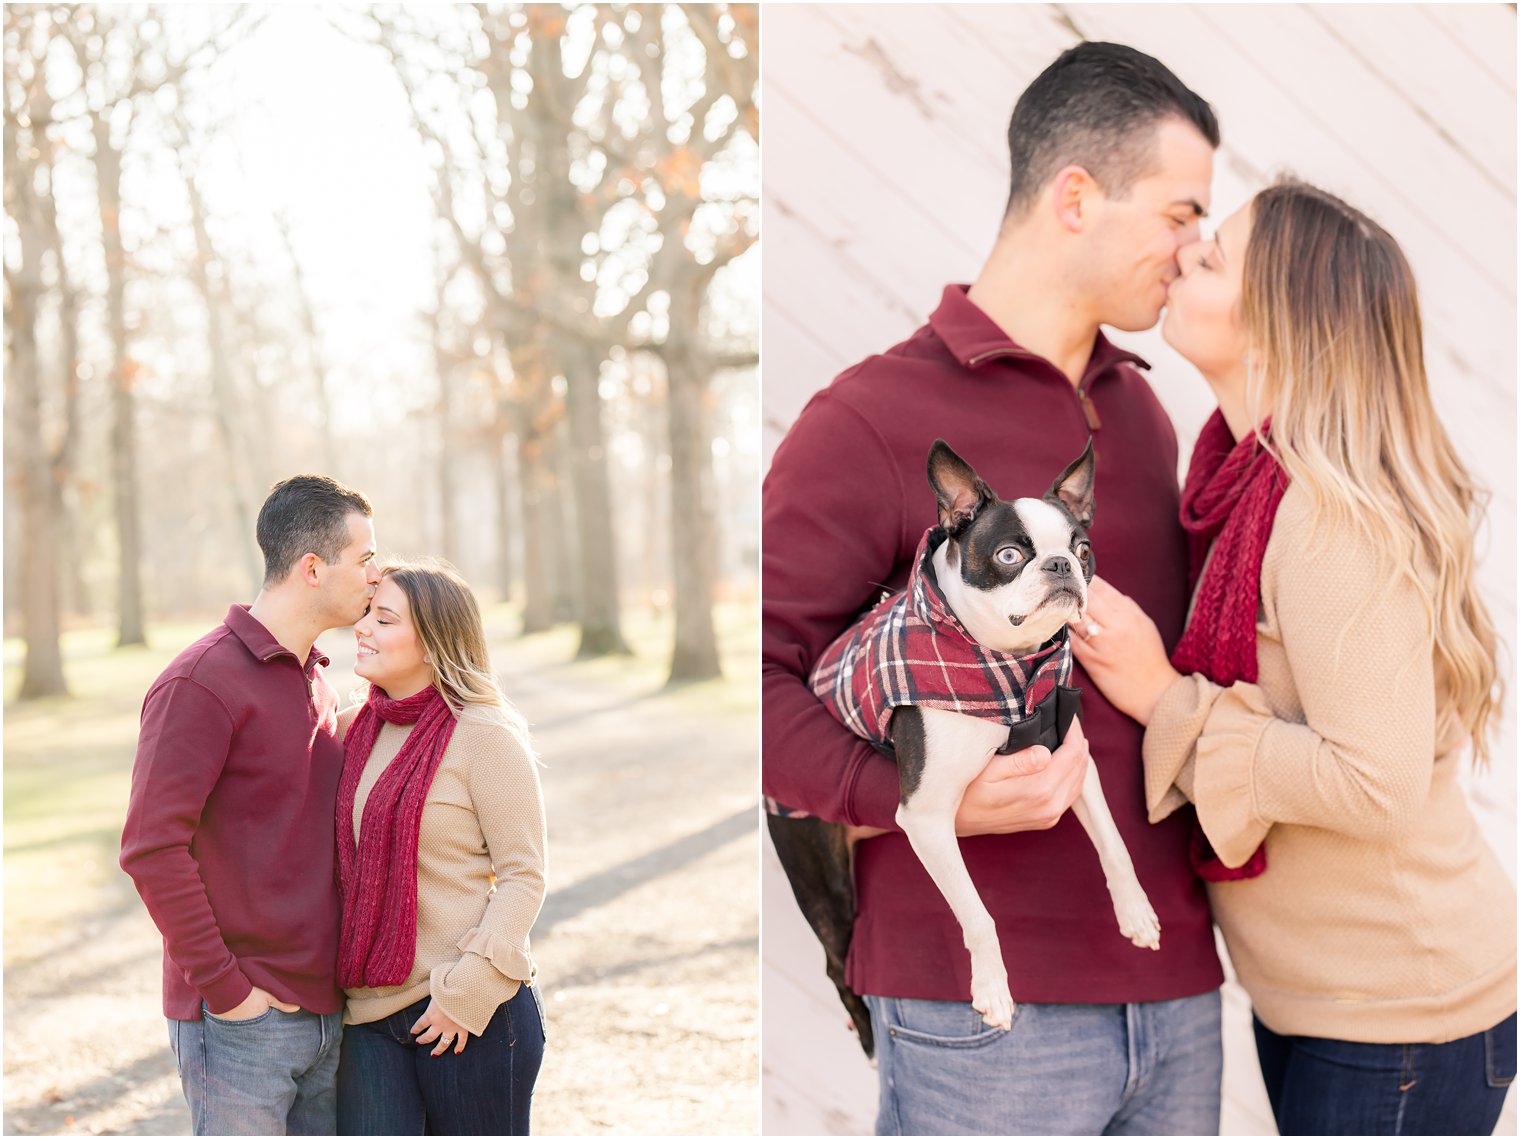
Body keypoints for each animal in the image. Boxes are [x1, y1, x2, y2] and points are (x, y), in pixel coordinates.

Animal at [766, 437, 1155, 1058]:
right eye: (1009, 556)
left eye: (1084, 549)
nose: (1061, 565)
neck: (1009, 668)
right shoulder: (926, 819)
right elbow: (978, 914)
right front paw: (993, 991)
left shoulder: (1075, 764)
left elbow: (1113, 842)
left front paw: (1136, 911)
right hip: (822, 878)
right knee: (835, 964)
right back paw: (869, 1037)